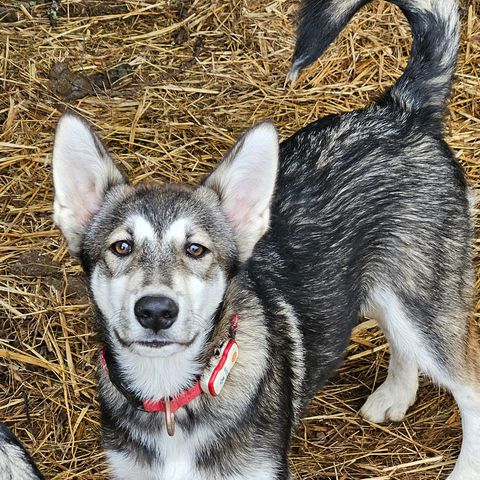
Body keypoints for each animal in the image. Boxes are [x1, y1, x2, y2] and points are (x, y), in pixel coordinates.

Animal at [50, 0, 478, 476]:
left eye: (196, 249)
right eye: (121, 247)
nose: (156, 311)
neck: (171, 398)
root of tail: (400, 111)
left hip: (426, 304)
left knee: (469, 388)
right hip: (393, 292)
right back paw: (395, 395)